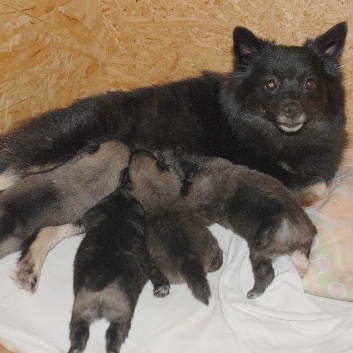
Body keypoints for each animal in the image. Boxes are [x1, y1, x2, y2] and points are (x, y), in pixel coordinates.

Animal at [68, 188, 148, 352]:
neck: (118, 216)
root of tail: (102, 276)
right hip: (122, 315)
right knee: (114, 339)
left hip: (80, 311)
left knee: (79, 337)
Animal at [126, 150, 316, 298]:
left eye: (159, 160)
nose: (155, 151)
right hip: (266, 252)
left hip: (259, 249)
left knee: (266, 273)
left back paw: (255, 290)